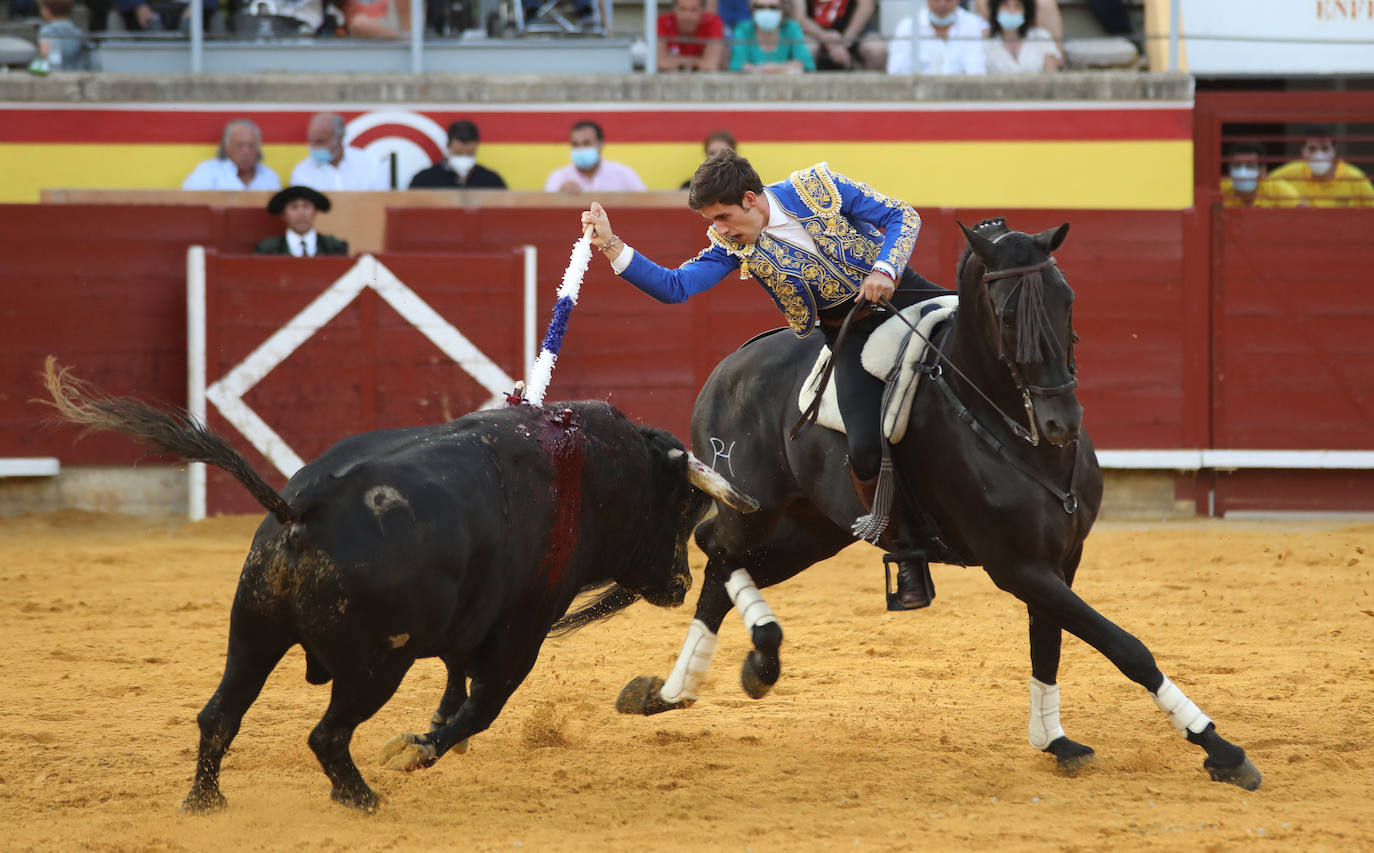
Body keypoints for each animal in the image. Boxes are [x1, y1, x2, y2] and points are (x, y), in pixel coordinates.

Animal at [42, 359, 752, 813]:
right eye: (681, 509)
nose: (681, 583)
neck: (596, 472)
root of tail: (303, 509)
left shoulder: (469, 625)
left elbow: (457, 684)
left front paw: (432, 734)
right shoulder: (520, 633)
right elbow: (482, 704)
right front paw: (415, 751)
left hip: (252, 632)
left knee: (220, 715)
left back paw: (205, 801)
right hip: (373, 665)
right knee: (327, 736)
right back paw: (361, 796)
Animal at [618, 219, 1258, 791]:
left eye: (1067, 300)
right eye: (1005, 316)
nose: (1062, 423)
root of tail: (727, 368)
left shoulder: (1060, 559)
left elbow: (1048, 643)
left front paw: (1055, 741)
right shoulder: (1016, 566)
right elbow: (1124, 646)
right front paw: (1220, 748)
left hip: (815, 531)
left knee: (721, 565)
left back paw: (679, 688)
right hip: (753, 508)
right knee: (715, 547)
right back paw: (734, 667)